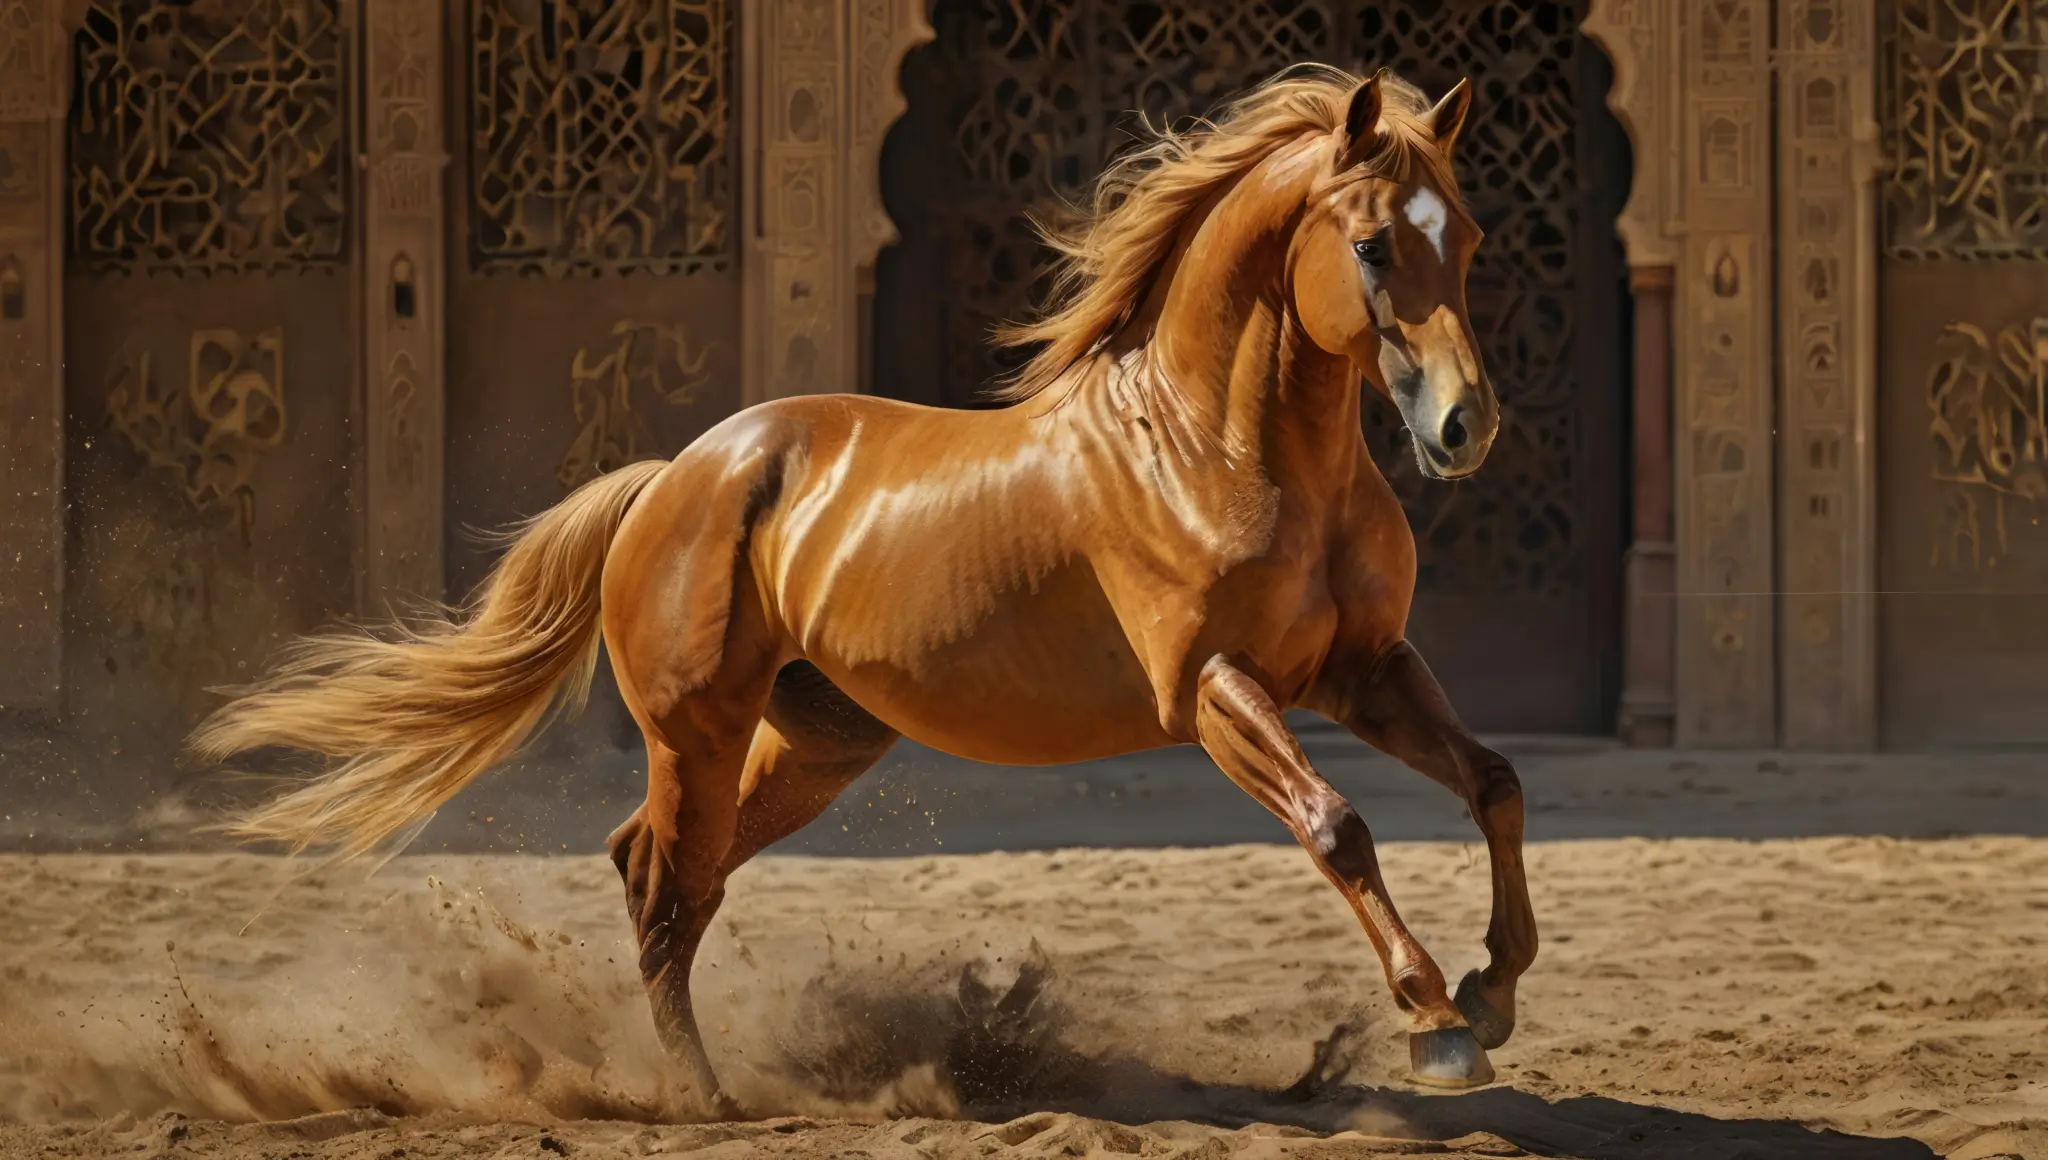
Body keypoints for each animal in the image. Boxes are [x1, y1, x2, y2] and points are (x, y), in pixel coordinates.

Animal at [192, 64, 1536, 1110]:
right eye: (1371, 245)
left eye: (1467, 240)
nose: (1462, 426)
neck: (1212, 444)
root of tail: (673, 476)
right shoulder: (1208, 688)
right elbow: (1336, 822)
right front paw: (1435, 1021)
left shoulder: (1362, 670)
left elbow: (1493, 780)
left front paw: (1493, 985)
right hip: (698, 729)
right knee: (665, 882)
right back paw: (702, 1097)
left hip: (814, 742)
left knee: (665, 870)